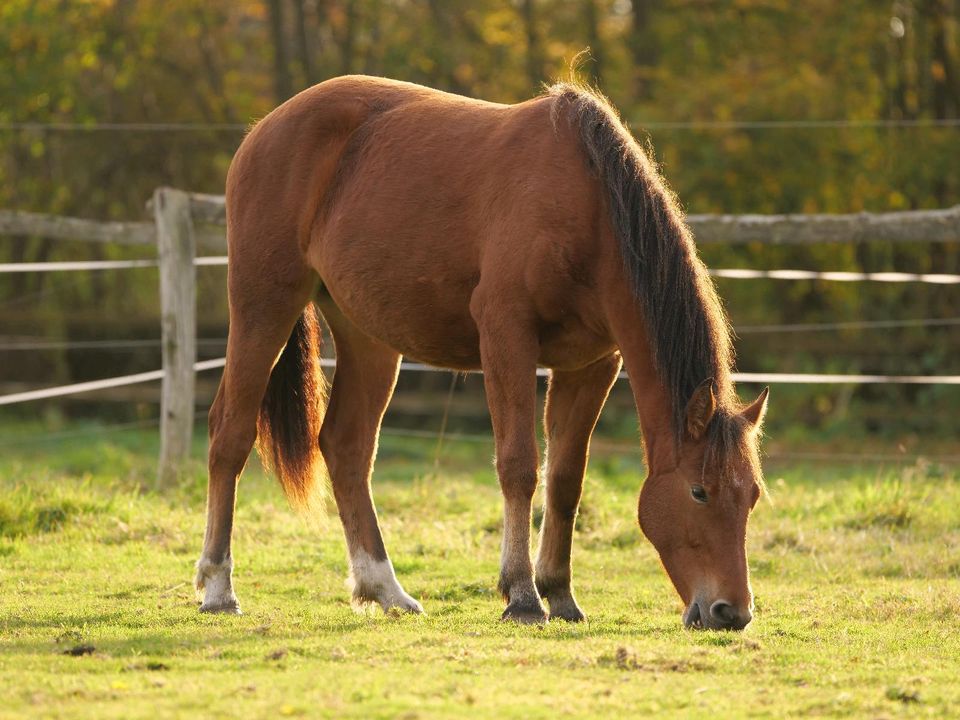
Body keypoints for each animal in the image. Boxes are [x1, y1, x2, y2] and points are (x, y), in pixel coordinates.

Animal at [197, 76, 772, 632]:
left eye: (751, 495)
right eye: (699, 492)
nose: (731, 612)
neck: (586, 208)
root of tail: (265, 129)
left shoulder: (591, 364)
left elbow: (565, 479)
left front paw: (560, 593)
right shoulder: (506, 336)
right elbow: (519, 465)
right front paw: (522, 595)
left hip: (367, 337)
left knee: (347, 447)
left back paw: (385, 590)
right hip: (263, 306)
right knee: (230, 433)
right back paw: (218, 587)